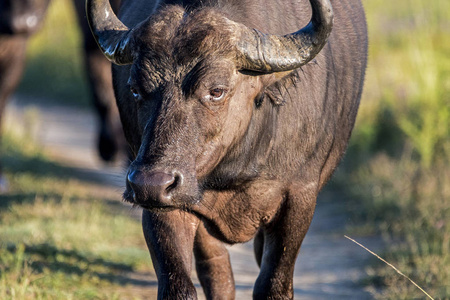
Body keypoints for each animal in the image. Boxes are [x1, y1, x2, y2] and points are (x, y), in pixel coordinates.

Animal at [87, 0, 366, 298]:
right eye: (136, 89)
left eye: (216, 90)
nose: (148, 183)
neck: (237, 167)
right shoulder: (162, 205)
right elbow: (180, 285)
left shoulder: (299, 197)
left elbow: (273, 285)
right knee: (217, 271)